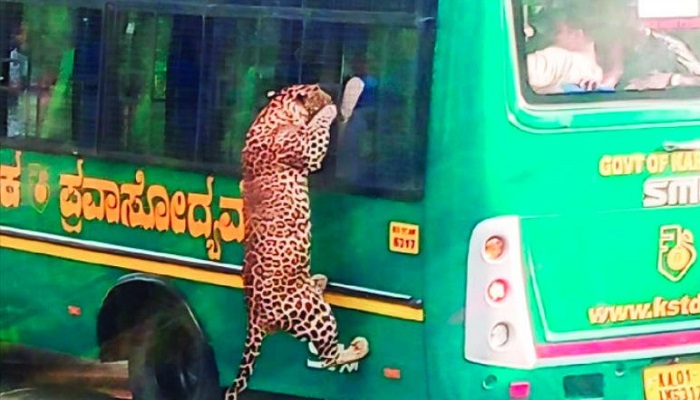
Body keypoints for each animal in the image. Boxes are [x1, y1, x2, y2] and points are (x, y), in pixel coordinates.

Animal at [227, 82, 372, 400]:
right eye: (318, 90)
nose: (330, 94)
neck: (275, 110)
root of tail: (255, 320)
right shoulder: (308, 149)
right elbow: (317, 130)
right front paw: (331, 109)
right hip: (316, 315)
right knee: (328, 357)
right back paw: (358, 346)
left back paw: (318, 280)